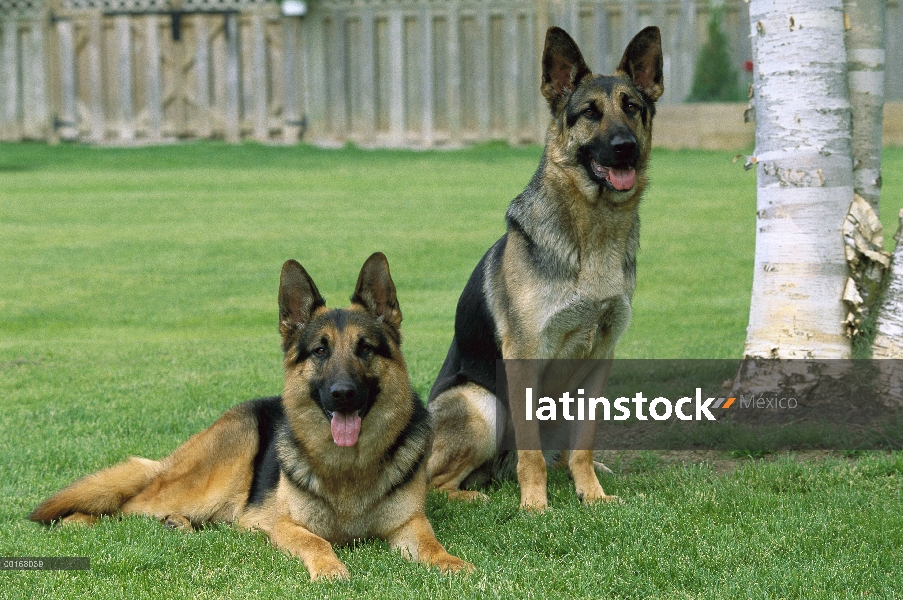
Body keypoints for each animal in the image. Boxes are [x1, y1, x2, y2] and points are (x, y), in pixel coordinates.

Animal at [30, 254, 474, 580]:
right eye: (320, 351)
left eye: (364, 348)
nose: (343, 394)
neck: (349, 467)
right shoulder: (283, 525)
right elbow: (318, 542)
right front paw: (330, 569)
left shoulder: (409, 524)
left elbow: (431, 544)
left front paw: (453, 563)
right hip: (214, 476)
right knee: (130, 502)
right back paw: (80, 521)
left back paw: (179, 524)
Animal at [424, 25, 664, 508]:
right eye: (589, 113)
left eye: (632, 107)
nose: (625, 148)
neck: (591, 238)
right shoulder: (524, 355)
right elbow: (530, 452)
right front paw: (535, 506)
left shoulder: (600, 358)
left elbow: (584, 444)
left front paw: (593, 496)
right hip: (482, 403)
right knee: (432, 484)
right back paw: (477, 497)